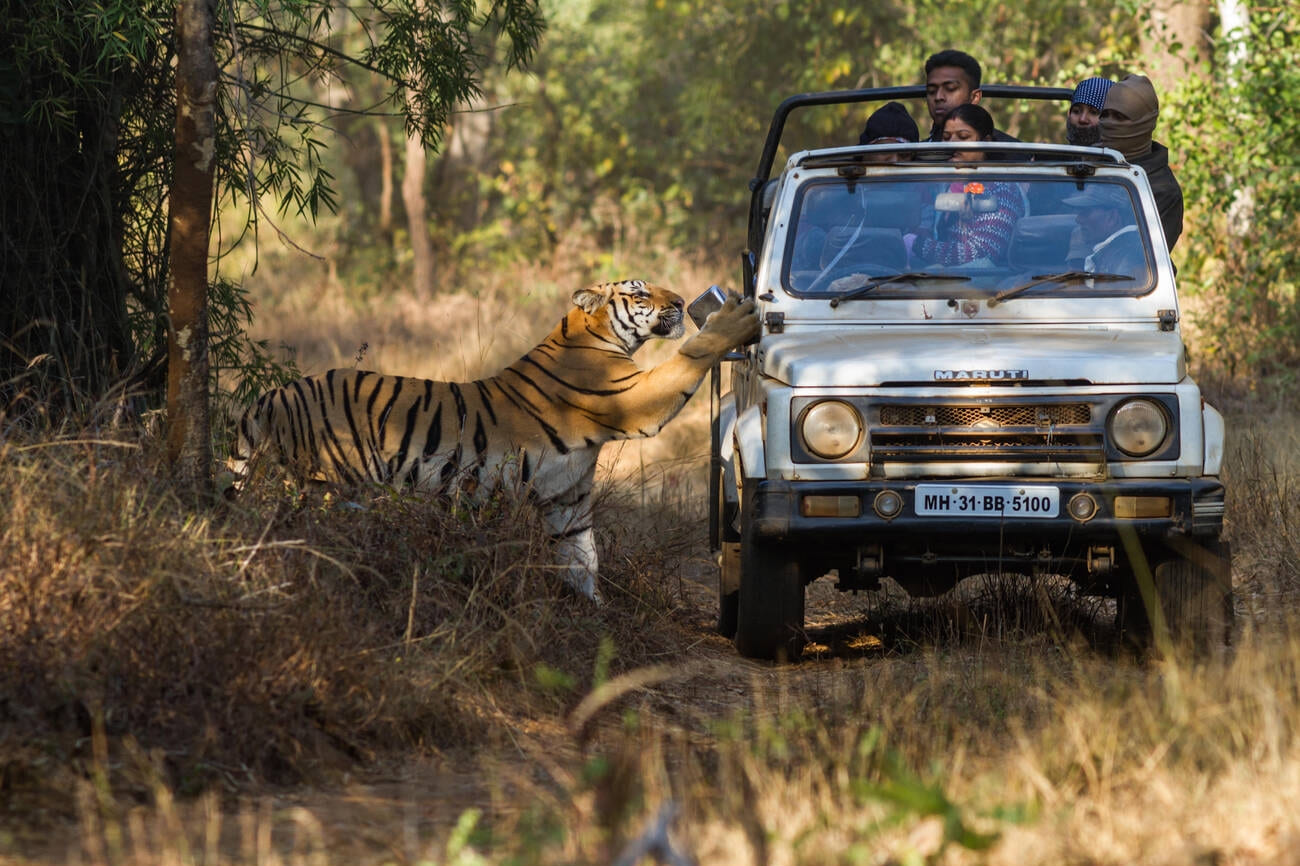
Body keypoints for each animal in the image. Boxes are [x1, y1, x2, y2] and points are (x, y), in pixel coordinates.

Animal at [232, 282, 759, 600]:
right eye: (640, 291)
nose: (680, 302)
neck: (592, 334)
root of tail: (268, 397)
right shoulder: (636, 399)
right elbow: (689, 357)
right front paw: (734, 319)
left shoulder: (567, 496)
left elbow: (582, 556)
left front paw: (595, 614)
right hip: (322, 487)